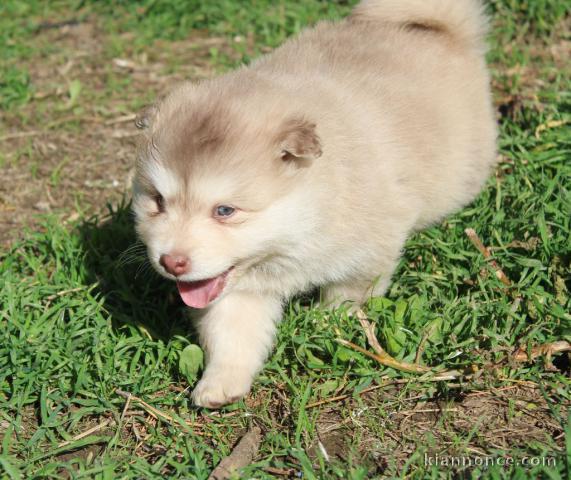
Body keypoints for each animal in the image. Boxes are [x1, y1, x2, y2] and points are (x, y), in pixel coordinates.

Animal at [133, 0, 496, 408]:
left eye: (225, 211)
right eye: (158, 200)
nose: (171, 262)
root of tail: (440, 29)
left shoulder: (364, 257)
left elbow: (347, 296)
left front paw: (325, 322)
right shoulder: (237, 289)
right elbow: (232, 333)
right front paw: (220, 383)